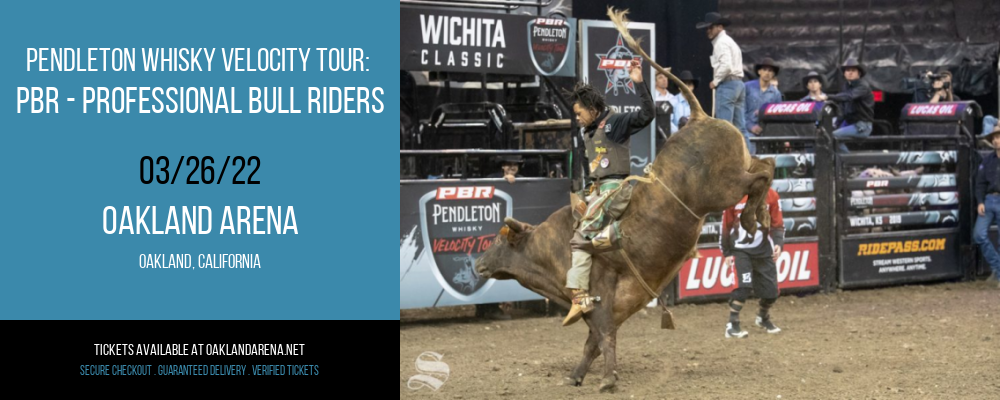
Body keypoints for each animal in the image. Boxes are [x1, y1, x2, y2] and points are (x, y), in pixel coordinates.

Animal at [472, 6, 776, 394]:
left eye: (498, 240)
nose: (478, 264)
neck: (547, 249)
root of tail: (697, 115)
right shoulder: (604, 310)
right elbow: (592, 342)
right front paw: (577, 375)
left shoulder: (599, 298)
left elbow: (603, 338)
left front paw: (607, 380)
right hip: (736, 169)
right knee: (764, 165)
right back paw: (760, 216)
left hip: (724, 187)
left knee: (762, 174)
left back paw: (752, 218)